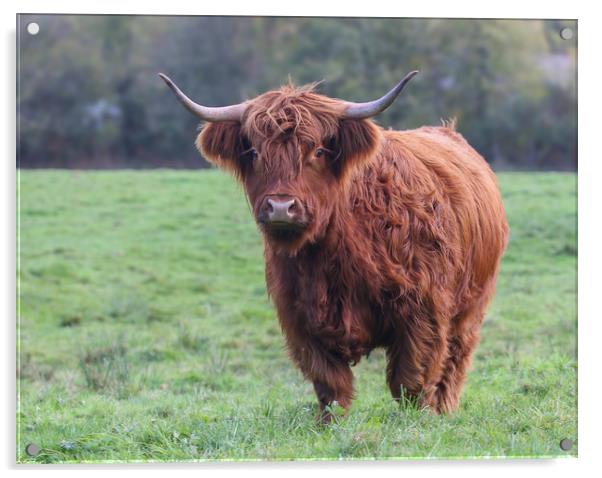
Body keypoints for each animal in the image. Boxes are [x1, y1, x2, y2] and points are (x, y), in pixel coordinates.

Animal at [158, 71, 506, 422]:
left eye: (318, 151)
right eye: (254, 152)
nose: (281, 207)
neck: (335, 254)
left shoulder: (423, 311)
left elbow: (412, 377)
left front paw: (417, 419)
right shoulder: (299, 316)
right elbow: (330, 382)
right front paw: (330, 423)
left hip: (471, 306)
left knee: (456, 359)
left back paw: (445, 408)